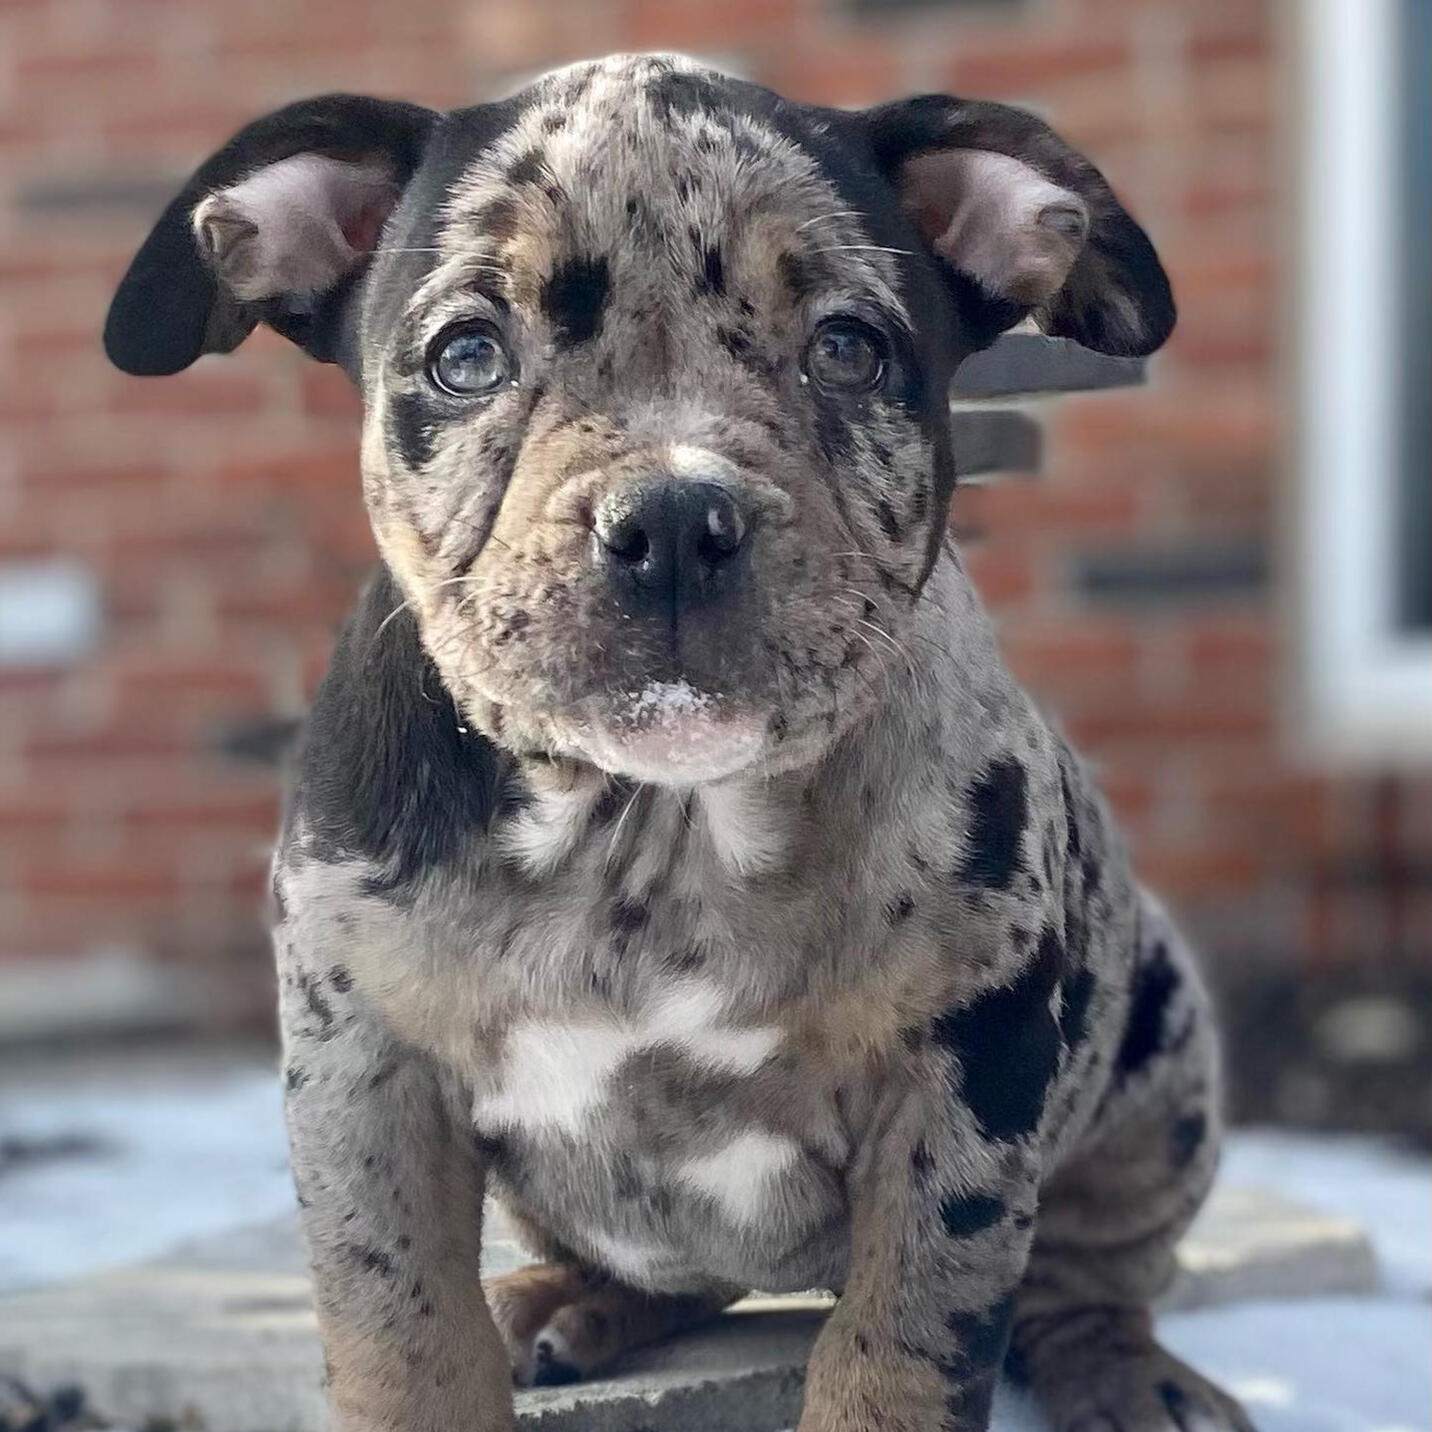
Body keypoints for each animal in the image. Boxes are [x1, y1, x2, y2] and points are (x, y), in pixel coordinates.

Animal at [105, 50, 1254, 1432]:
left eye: (849, 349)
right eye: (466, 355)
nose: (669, 516)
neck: (648, 823)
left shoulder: (959, 1097)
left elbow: (895, 1354)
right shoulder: (365, 1082)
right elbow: (405, 1340)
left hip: (1158, 1071)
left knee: (1090, 1263)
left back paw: (1121, 1370)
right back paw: (557, 1306)